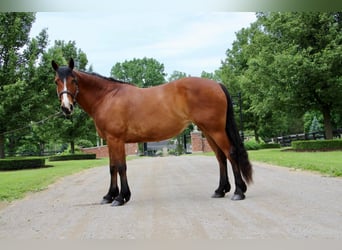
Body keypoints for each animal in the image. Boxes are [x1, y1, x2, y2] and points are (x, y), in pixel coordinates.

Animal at [52, 58, 252, 205]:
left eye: (73, 80)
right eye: (56, 81)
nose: (66, 107)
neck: (107, 97)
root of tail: (216, 84)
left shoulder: (116, 139)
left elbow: (120, 167)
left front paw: (120, 198)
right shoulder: (110, 141)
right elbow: (112, 167)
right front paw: (109, 196)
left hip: (216, 130)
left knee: (230, 153)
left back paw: (238, 192)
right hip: (208, 131)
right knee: (220, 157)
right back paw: (220, 190)